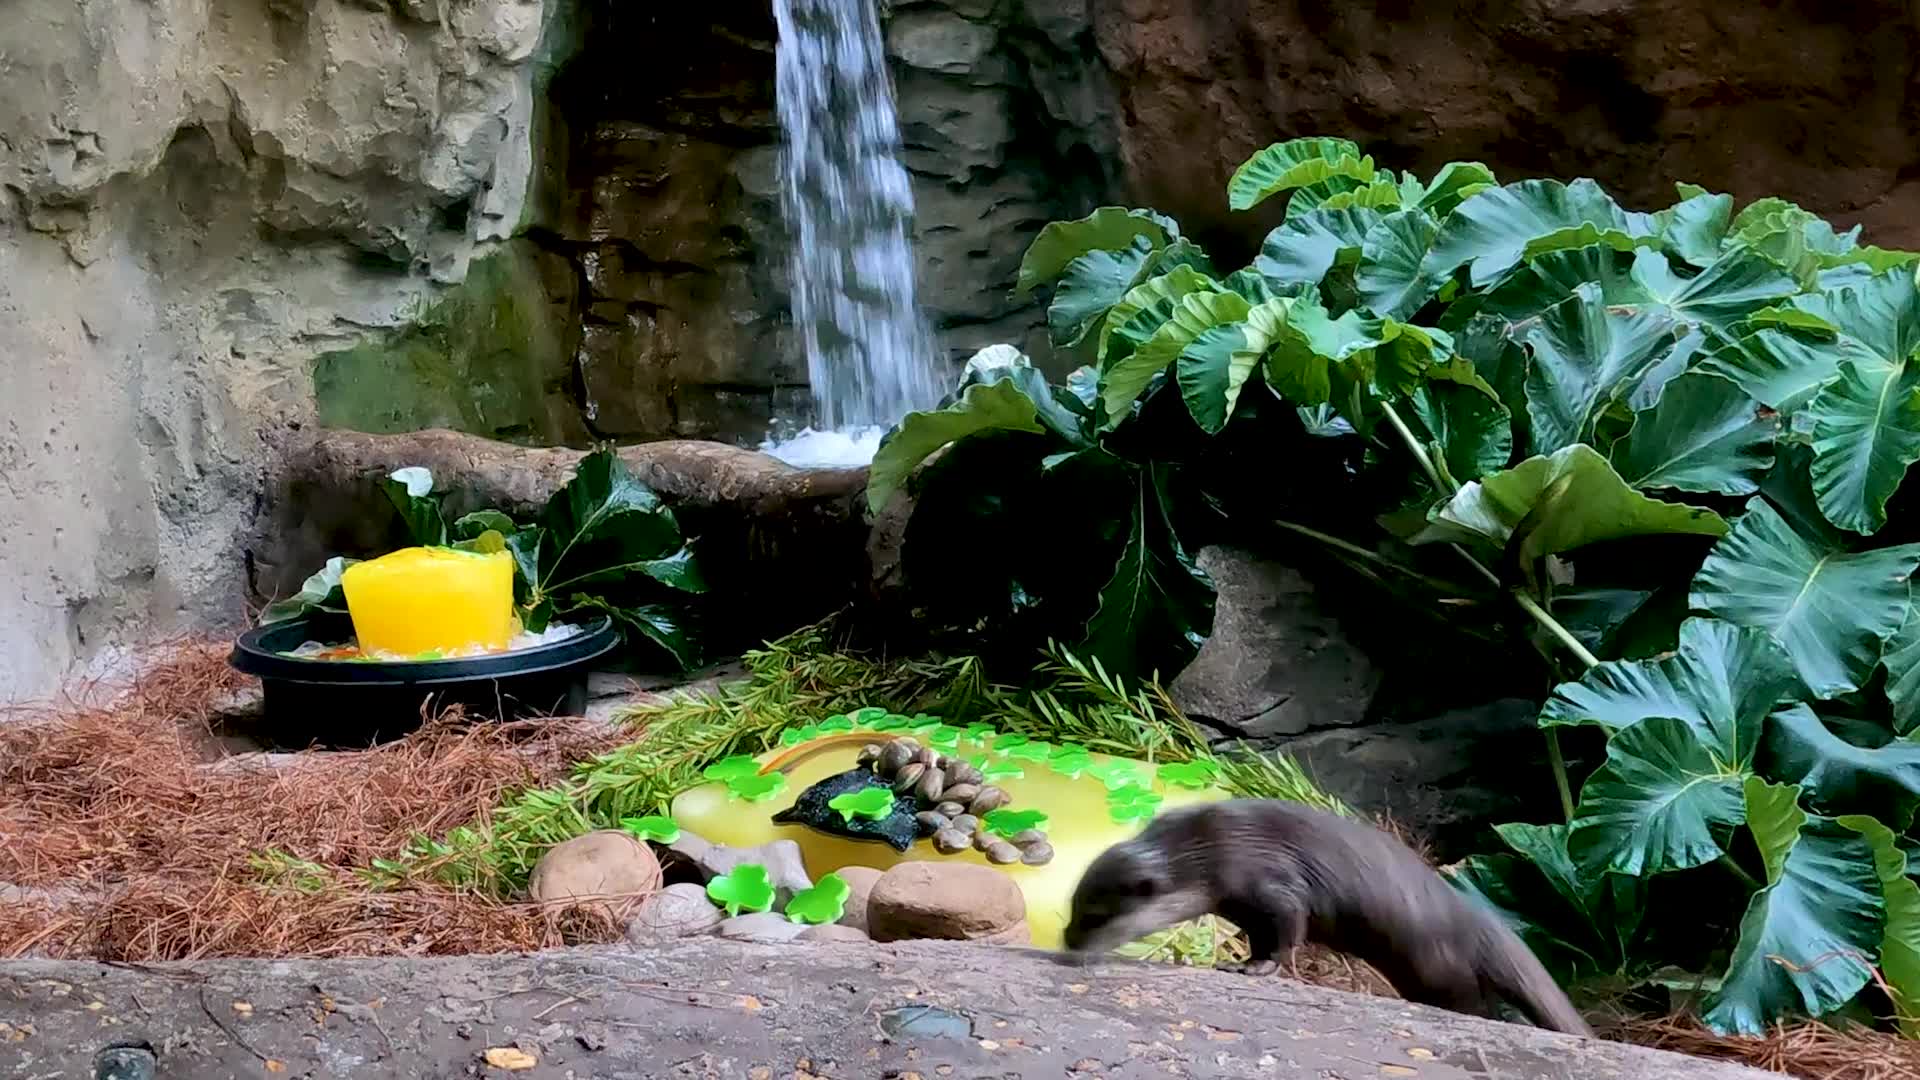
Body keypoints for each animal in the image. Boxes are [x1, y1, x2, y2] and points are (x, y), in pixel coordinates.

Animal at [1063, 799, 1591, 1037]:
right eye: (1071, 909)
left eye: (1096, 917)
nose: (1068, 944)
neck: (1208, 852)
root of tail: (1478, 920)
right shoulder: (1242, 904)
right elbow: (1258, 934)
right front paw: (1241, 961)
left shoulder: (1272, 882)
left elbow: (1287, 929)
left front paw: (1257, 968)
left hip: (1440, 967)